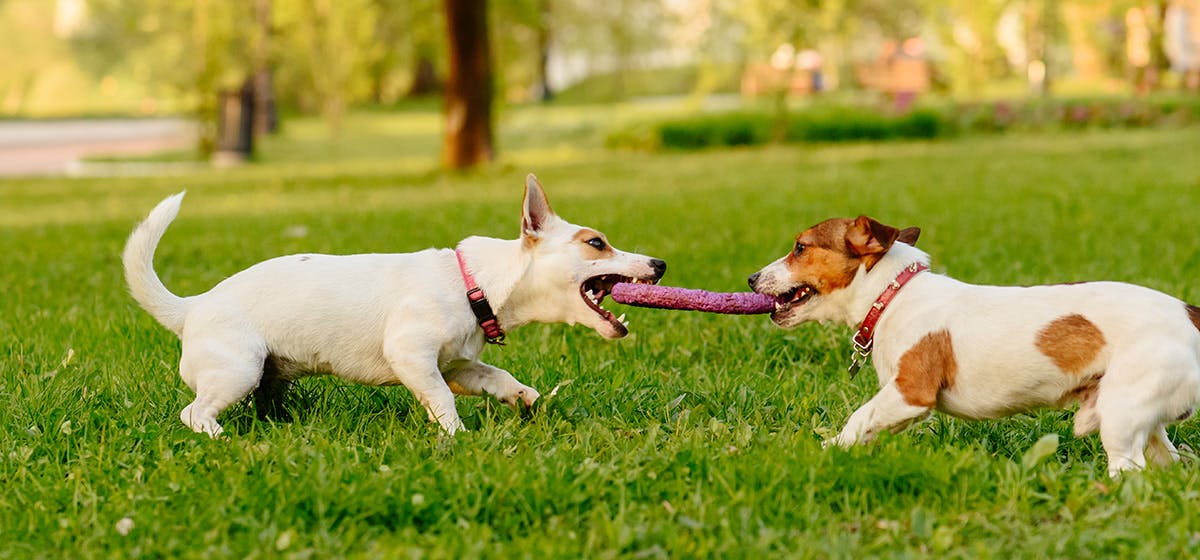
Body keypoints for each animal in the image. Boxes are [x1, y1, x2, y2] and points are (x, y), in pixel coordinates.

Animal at [124, 175, 667, 438]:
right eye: (596, 243)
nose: (659, 263)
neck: (474, 283)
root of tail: (191, 307)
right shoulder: (413, 356)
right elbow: (442, 400)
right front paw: (456, 435)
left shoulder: (456, 364)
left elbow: (493, 377)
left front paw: (525, 398)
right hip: (237, 369)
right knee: (193, 413)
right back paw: (221, 437)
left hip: (267, 375)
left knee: (263, 402)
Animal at [748, 215, 1200, 477]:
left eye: (800, 248)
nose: (751, 278)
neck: (893, 294)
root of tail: (1190, 315)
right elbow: (869, 429)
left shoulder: (910, 393)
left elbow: (860, 417)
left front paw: (824, 450)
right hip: (1144, 415)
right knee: (1166, 461)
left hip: (1122, 411)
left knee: (1130, 470)